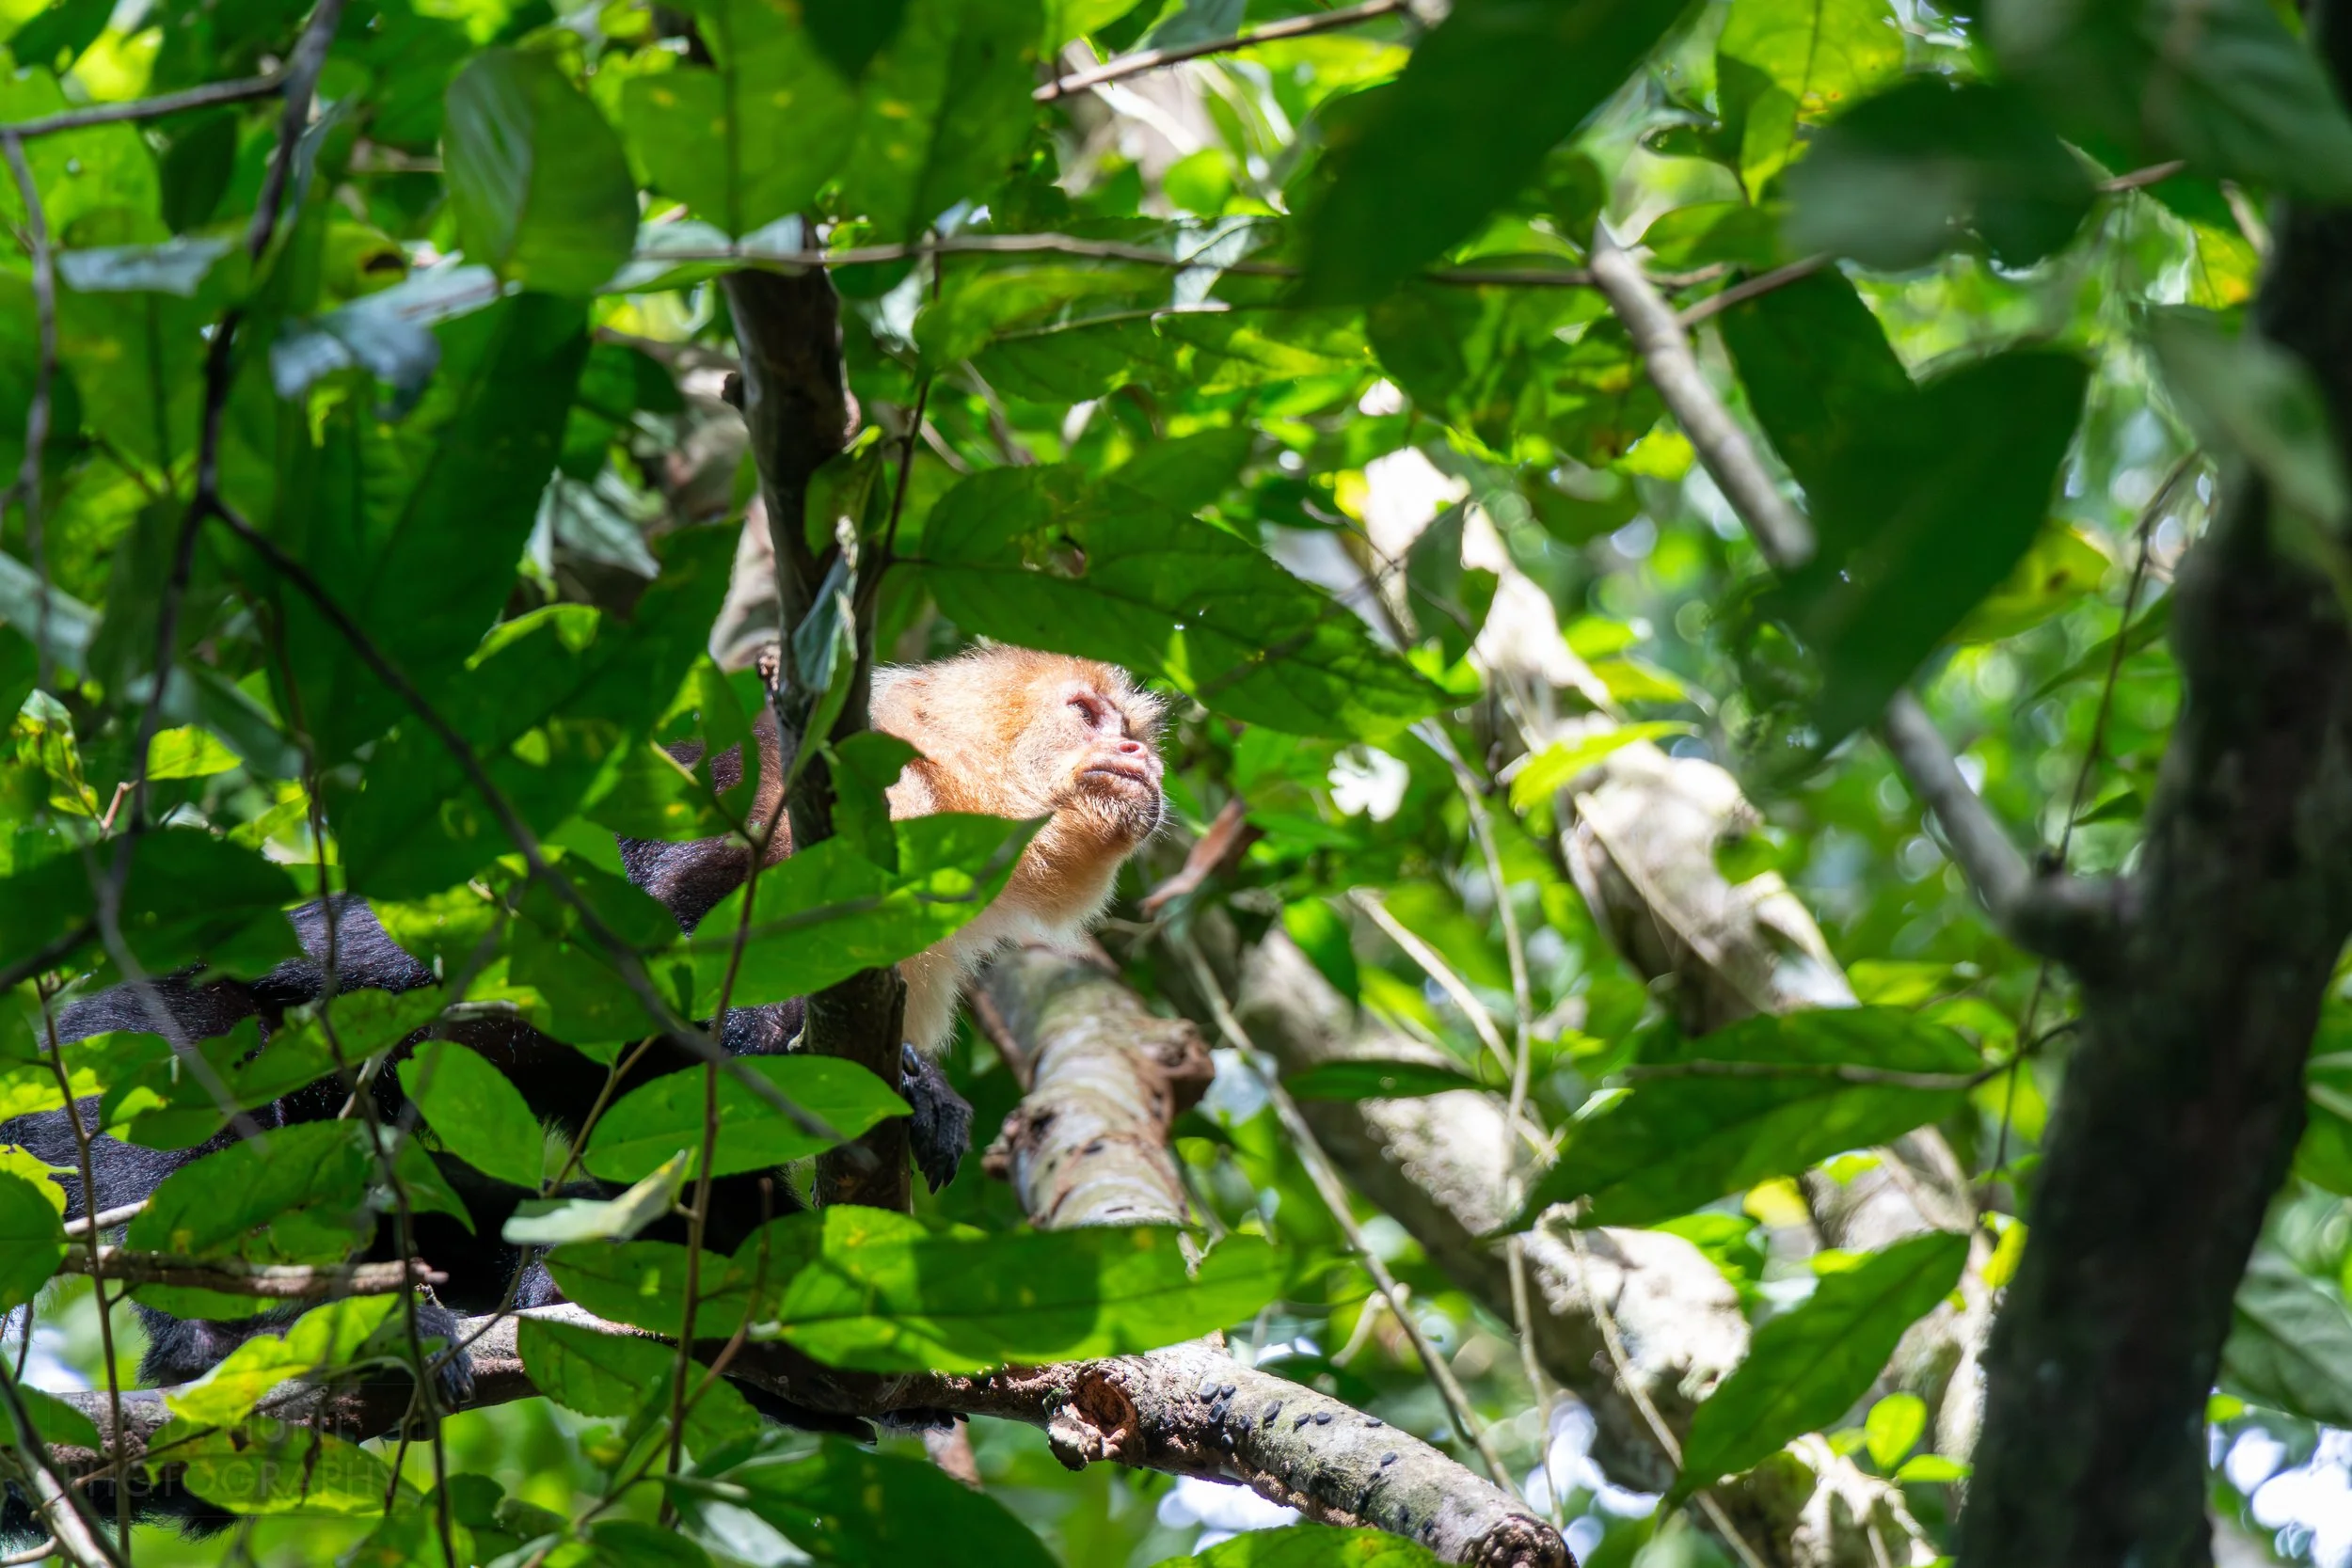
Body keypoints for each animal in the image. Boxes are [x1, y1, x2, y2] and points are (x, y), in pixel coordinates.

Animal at [0, 645, 1165, 1470]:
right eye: (1086, 715)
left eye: (1134, 728)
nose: (1144, 757)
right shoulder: (812, 796)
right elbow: (645, 984)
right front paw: (899, 1094)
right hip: (113, 1042)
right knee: (187, 1125)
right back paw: (235, 1343)